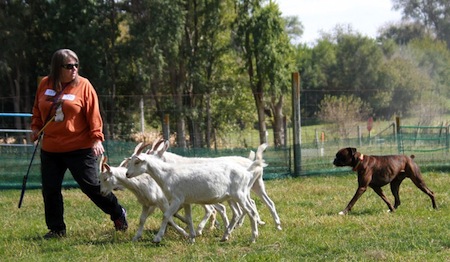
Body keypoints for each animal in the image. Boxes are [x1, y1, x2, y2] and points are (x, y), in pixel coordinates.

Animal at [125, 143, 268, 244]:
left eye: (137, 161)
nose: (127, 174)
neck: (168, 174)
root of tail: (247, 172)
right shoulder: (186, 201)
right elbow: (188, 219)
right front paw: (191, 238)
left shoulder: (177, 199)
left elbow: (166, 215)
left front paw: (157, 238)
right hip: (236, 196)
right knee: (240, 212)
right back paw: (225, 237)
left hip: (240, 194)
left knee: (251, 212)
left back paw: (253, 238)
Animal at [149, 138, 280, 230]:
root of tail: (251, 163)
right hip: (257, 185)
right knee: (267, 202)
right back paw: (275, 224)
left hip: (243, 190)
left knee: (250, 204)